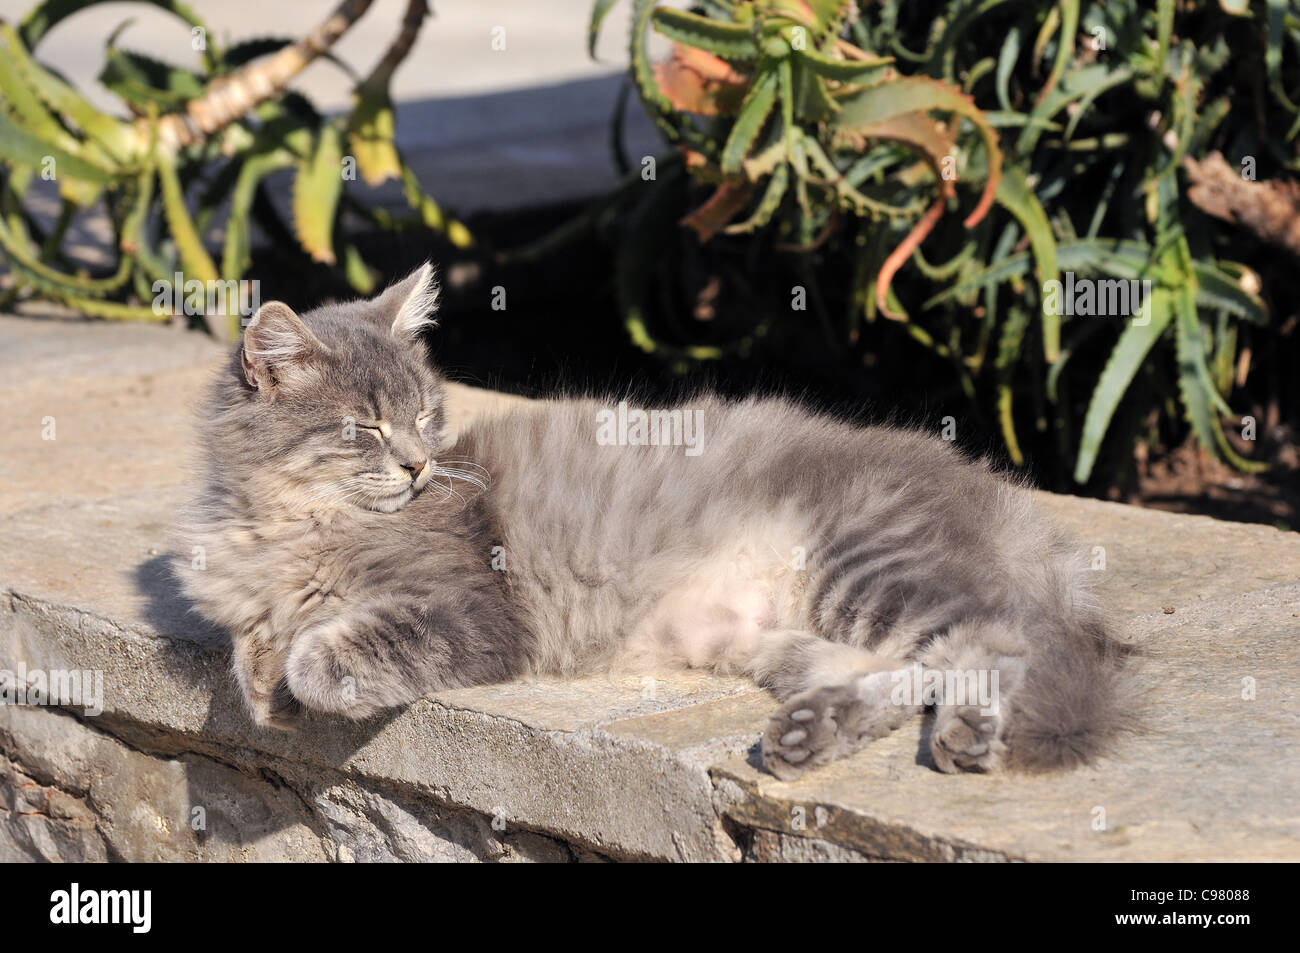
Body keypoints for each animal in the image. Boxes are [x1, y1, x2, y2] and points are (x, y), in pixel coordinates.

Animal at [175, 262, 1138, 774]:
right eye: (365, 428)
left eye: (423, 415)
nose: (417, 464)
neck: (288, 522)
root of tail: (994, 496)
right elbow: (248, 645)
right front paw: (260, 684)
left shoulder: (474, 611)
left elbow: (324, 655)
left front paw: (293, 679)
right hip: (778, 636)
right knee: (906, 672)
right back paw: (809, 733)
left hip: (868, 566)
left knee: (996, 641)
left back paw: (971, 733)